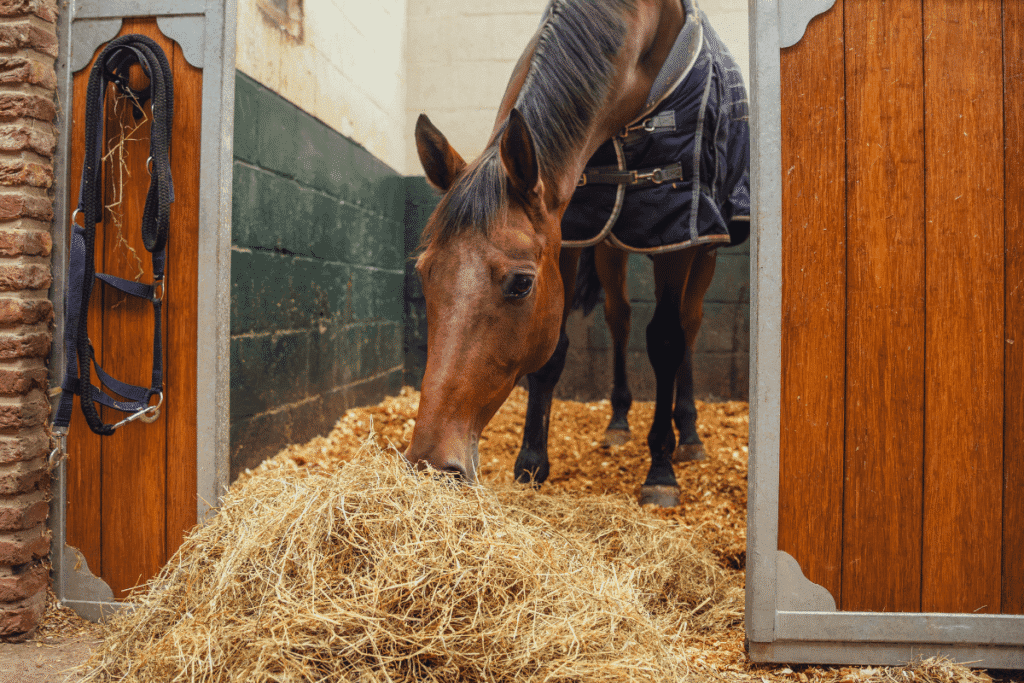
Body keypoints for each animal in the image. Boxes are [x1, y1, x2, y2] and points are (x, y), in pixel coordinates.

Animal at [405, 0, 749, 507]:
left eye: (521, 284)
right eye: (425, 274)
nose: (430, 463)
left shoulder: (674, 228)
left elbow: (666, 340)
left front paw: (660, 473)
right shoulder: (570, 232)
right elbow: (555, 351)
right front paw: (530, 466)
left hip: (705, 246)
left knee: (688, 323)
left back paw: (687, 436)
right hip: (609, 247)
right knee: (620, 316)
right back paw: (618, 423)